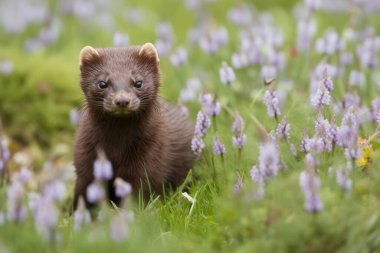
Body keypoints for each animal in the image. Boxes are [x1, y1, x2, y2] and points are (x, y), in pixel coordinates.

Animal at [73, 44, 196, 210]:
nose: (122, 100)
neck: (117, 145)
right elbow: (83, 193)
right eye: (102, 83)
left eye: (138, 82)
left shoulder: (150, 157)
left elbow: (139, 192)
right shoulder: (85, 160)